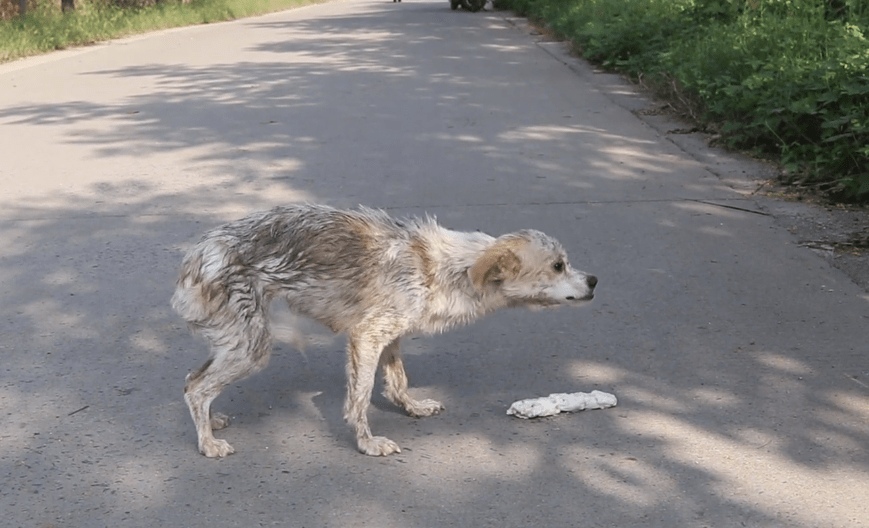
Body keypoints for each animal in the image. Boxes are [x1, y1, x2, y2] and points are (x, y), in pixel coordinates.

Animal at [174, 204, 600, 456]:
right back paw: (208, 443)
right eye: (558, 266)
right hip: (252, 347)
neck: (446, 269)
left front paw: (412, 407)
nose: (595, 280)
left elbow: (397, 382)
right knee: (197, 389)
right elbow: (360, 399)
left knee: (192, 379)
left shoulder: (391, 336)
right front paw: (367, 443)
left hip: (238, 342)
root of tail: (197, 253)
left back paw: (211, 421)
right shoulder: (367, 337)